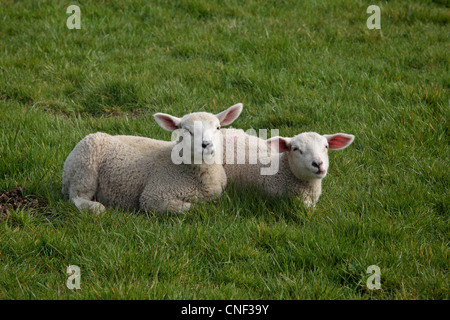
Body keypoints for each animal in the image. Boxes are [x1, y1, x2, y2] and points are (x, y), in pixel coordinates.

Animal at [62, 101, 244, 214]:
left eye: (218, 128)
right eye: (186, 130)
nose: (206, 144)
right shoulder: (155, 196)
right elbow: (191, 207)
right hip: (85, 167)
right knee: (76, 197)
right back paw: (96, 208)